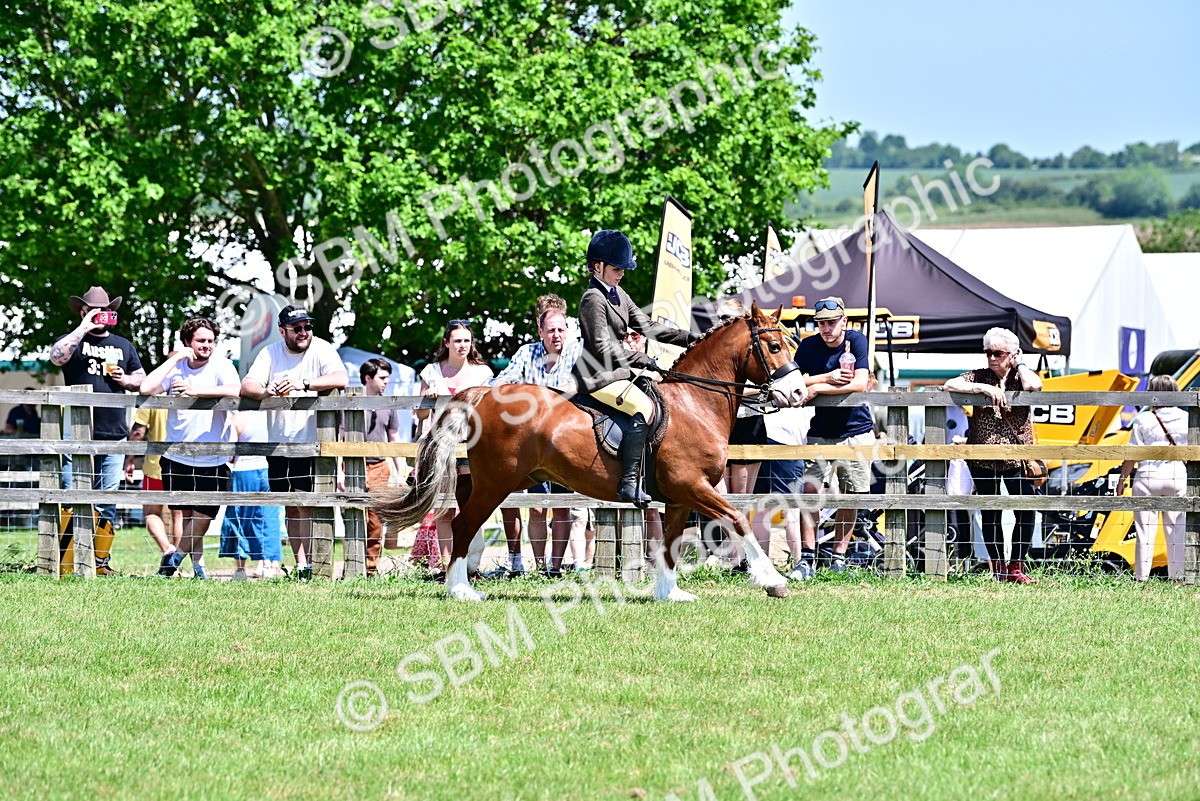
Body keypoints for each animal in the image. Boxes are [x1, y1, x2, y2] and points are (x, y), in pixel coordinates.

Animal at [373, 302, 808, 601]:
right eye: (773, 346)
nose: (799, 393)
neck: (694, 403)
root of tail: (484, 393)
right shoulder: (693, 487)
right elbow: (738, 519)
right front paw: (774, 582)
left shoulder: (680, 497)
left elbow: (668, 543)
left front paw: (669, 593)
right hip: (498, 481)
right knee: (465, 524)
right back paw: (461, 590)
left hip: (494, 481)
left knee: (468, 521)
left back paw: (464, 579)